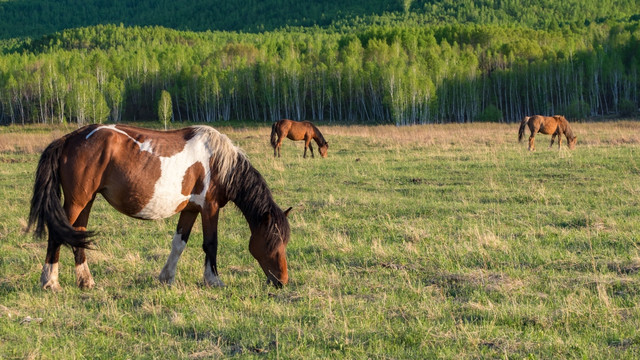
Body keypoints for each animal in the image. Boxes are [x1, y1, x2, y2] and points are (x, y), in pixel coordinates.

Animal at [28, 125, 292, 292]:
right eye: (272, 241)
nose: (282, 281)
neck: (218, 161)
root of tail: (69, 139)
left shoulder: (190, 209)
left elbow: (179, 244)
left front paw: (167, 278)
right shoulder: (210, 208)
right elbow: (211, 244)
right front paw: (213, 280)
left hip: (87, 201)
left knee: (78, 235)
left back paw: (86, 282)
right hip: (76, 201)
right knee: (56, 235)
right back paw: (50, 282)